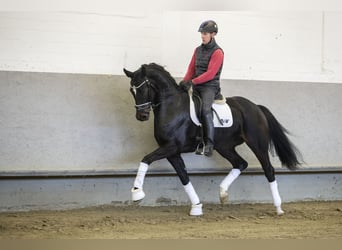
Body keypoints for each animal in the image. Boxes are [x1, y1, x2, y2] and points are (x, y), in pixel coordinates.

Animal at [124, 62, 300, 215]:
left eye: (143, 89)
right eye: (132, 91)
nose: (141, 116)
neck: (173, 106)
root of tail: (256, 107)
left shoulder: (172, 147)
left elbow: (146, 159)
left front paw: (137, 192)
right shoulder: (172, 152)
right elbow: (183, 177)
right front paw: (196, 207)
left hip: (257, 144)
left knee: (268, 170)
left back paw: (278, 208)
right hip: (225, 147)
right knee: (240, 163)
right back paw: (223, 193)